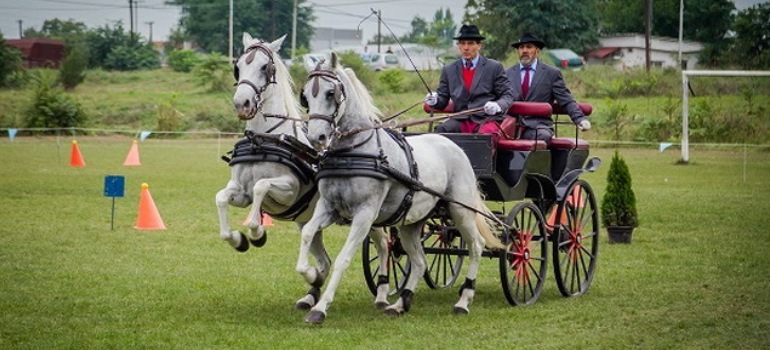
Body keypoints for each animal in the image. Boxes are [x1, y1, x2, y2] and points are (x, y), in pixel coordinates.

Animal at [216, 33, 390, 308]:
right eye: (239, 65)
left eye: (264, 67)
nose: (242, 103)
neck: (264, 139)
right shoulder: (240, 192)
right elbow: (221, 198)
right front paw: (238, 240)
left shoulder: (288, 190)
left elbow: (261, 187)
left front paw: (257, 233)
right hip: (307, 220)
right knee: (324, 260)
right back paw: (311, 289)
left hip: (370, 217)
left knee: (384, 246)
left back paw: (382, 294)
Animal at [296, 53, 504, 324]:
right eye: (305, 96)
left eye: (331, 93)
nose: (316, 138)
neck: (353, 152)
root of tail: (453, 144)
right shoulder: (329, 207)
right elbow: (308, 233)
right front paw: (312, 274)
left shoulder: (365, 214)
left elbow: (343, 258)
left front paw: (320, 308)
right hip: (411, 224)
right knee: (420, 261)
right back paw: (401, 303)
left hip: (460, 210)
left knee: (476, 246)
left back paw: (463, 300)